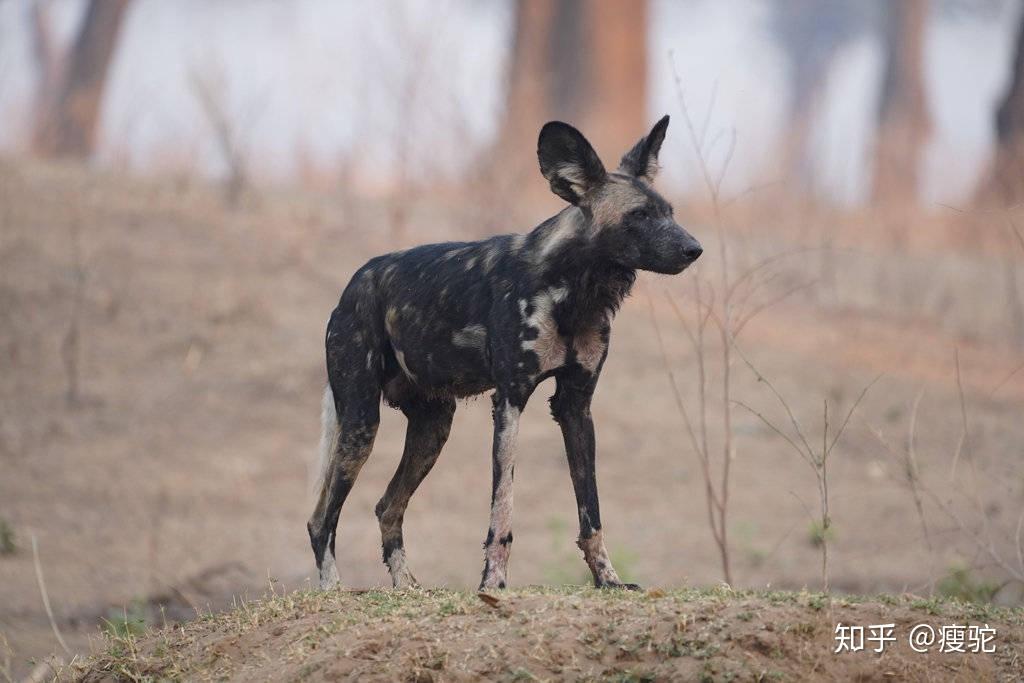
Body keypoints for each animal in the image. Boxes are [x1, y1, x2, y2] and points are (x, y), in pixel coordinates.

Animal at [307, 114, 700, 589]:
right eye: (638, 215)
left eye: (669, 213)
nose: (694, 249)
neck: (575, 292)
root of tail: (354, 283)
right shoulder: (511, 401)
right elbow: (503, 510)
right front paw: (492, 583)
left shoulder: (575, 406)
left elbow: (591, 513)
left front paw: (608, 579)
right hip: (361, 423)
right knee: (321, 519)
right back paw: (333, 591)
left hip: (432, 429)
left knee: (387, 507)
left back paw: (407, 589)